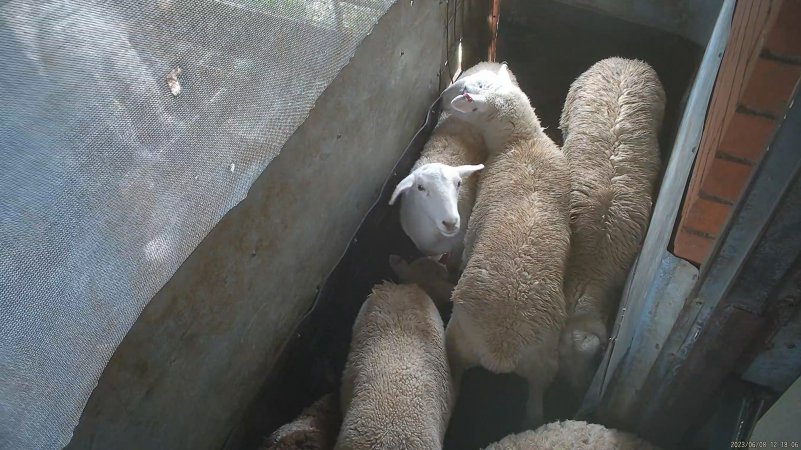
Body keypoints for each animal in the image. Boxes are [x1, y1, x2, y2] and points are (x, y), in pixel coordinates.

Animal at [440, 64, 572, 428]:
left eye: (474, 86)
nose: (444, 96)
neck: (521, 142)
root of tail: (503, 346)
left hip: (457, 337)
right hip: (544, 362)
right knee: (537, 403)